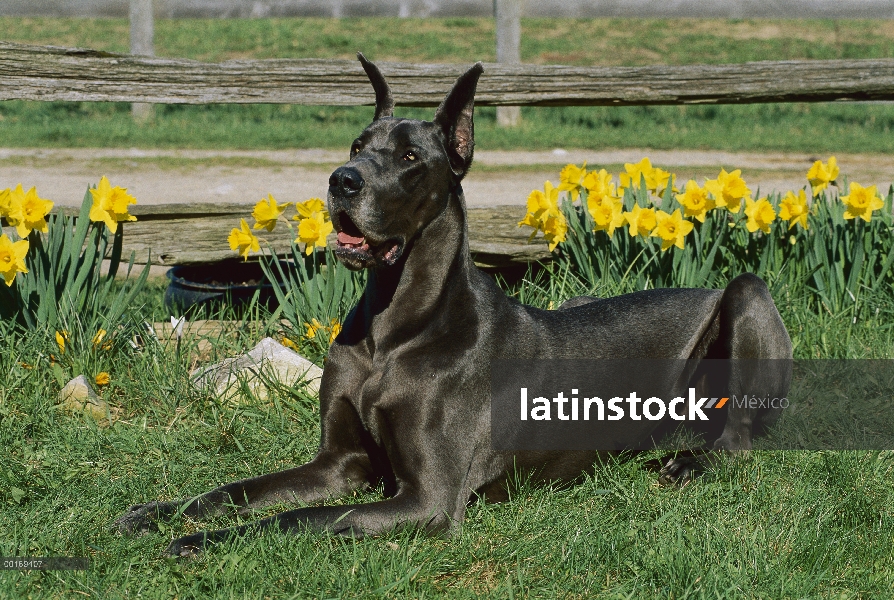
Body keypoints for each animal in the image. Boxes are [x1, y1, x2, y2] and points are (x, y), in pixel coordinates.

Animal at [115, 54, 796, 556]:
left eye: (410, 157)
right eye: (357, 144)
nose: (341, 180)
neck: (394, 329)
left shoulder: (429, 501)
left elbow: (303, 520)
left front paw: (202, 542)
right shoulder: (337, 464)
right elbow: (240, 490)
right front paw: (160, 512)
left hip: (745, 293)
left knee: (739, 438)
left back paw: (687, 464)